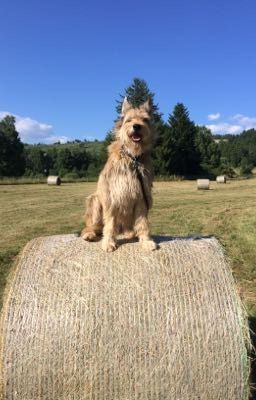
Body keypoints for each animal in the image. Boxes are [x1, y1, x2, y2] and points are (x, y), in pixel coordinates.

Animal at [81, 97, 157, 252]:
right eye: (129, 120)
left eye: (145, 120)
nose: (136, 126)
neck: (133, 157)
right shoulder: (112, 196)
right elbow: (110, 224)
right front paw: (108, 242)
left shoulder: (141, 197)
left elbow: (143, 222)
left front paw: (146, 241)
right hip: (95, 201)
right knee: (93, 226)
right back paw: (90, 234)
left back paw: (129, 233)